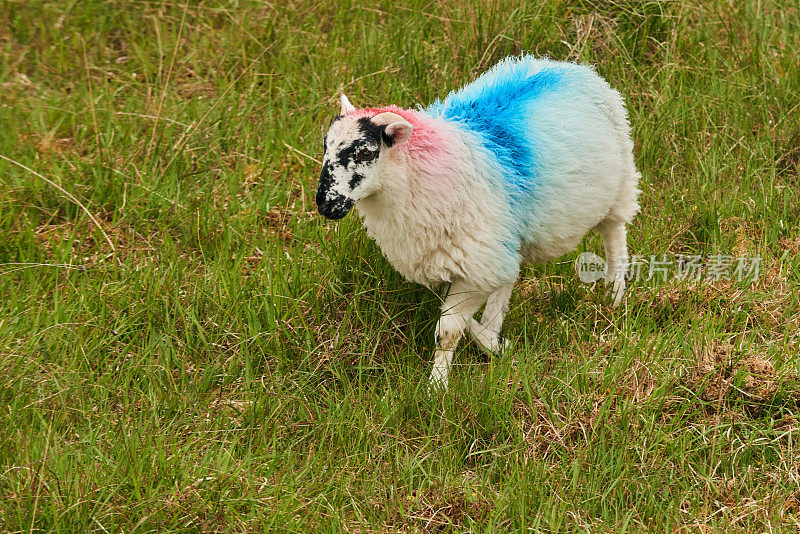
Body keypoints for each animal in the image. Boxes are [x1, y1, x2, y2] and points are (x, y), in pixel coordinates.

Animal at [316, 55, 640, 390]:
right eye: (325, 146)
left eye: (367, 153)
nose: (325, 204)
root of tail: (570, 67)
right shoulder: (452, 259)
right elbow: (462, 308)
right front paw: (495, 343)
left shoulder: (477, 264)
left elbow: (447, 332)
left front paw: (437, 386)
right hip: (507, 230)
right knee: (510, 274)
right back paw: (494, 325)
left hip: (619, 185)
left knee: (615, 236)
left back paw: (615, 294)